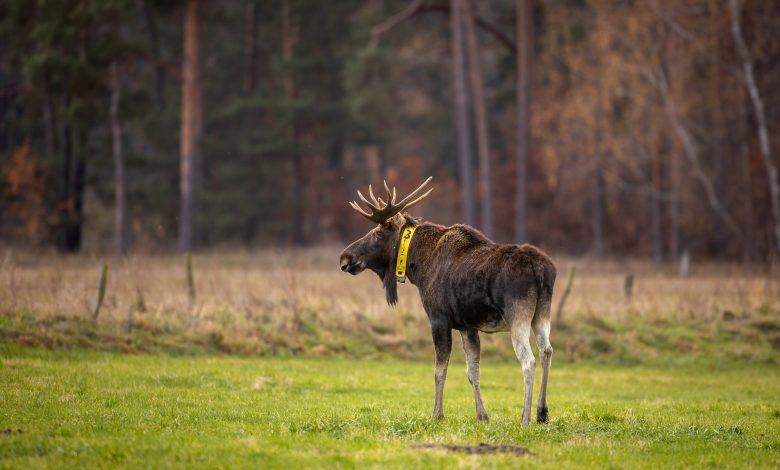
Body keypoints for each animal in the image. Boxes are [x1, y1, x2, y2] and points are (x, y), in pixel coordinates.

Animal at [340, 176, 556, 426]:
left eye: (376, 233)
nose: (345, 257)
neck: (418, 266)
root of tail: (542, 269)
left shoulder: (439, 319)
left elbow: (439, 370)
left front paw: (437, 414)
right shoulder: (467, 326)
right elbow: (473, 371)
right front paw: (482, 415)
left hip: (517, 315)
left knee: (528, 360)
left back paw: (525, 418)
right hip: (542, 314)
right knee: (546, 350)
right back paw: (542, 412)